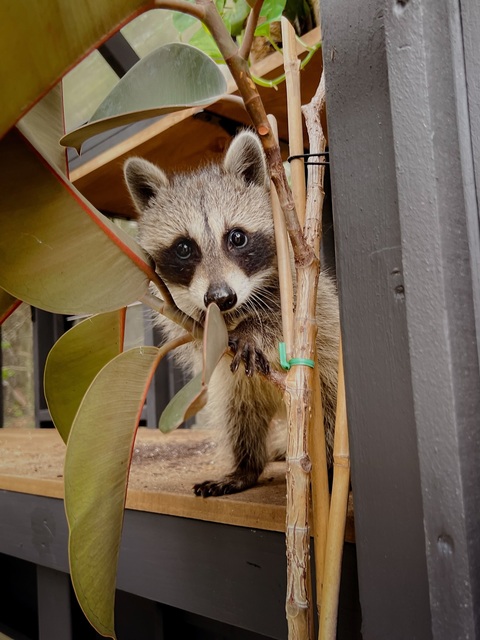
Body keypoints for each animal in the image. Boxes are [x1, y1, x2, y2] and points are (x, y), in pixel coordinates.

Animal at [124, 131, 339, 497]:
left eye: (237, 237)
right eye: (184, 248)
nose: (221, 298)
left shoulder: (301, 283)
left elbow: (289, 317)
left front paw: (253, 328)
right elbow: (198, 333)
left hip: (326, 380)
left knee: (329, 411)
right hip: (237, 388)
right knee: (238, 414)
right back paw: (246, 467)